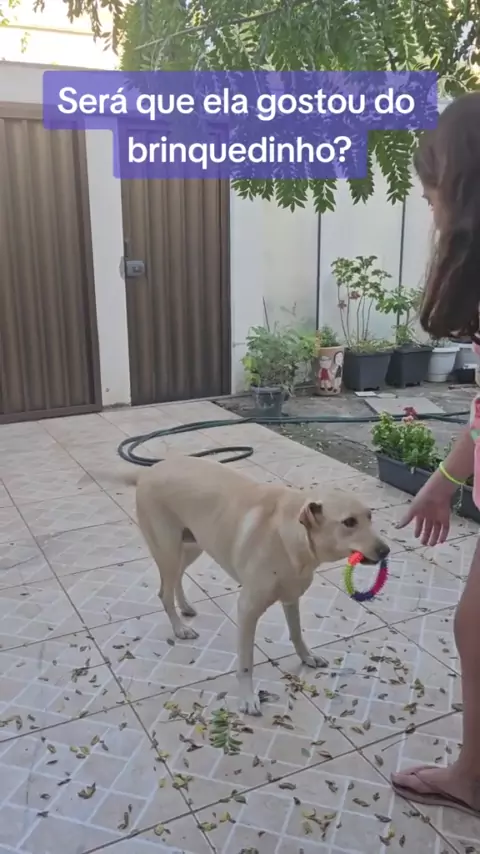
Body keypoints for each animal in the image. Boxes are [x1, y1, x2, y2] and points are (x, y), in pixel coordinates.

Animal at [118, 455, 389, 715]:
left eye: (370, 516)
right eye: (349, 522)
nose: (386, 550)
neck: (290, 537)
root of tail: (147, 471)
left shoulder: (291, 598)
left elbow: (296, 633)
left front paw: (307, 656)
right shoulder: (247, 609)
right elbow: (246, 663)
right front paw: (248, 698)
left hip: (192, 545)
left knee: (177, 578)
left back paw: (184, 607)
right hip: (169, 550)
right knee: (163, 591)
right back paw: (179, 628)